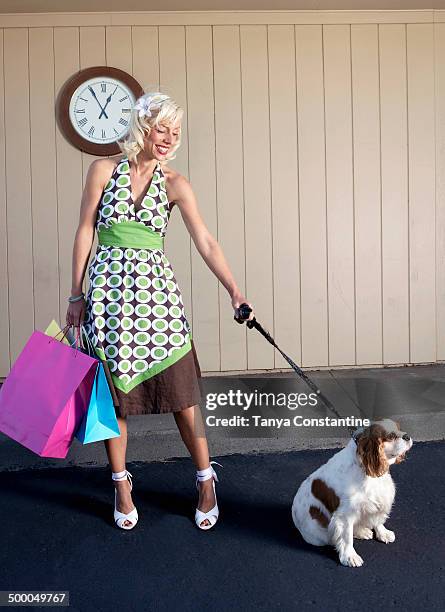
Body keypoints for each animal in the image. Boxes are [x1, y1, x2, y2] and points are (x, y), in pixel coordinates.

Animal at [292, 418, 412, 568]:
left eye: (400, 429)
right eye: (390, 436)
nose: (407, 436)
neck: (366, 470)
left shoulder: (379, 499)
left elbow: (378, 519)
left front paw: (383, 533)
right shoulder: (345, 515)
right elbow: (346, 537)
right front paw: (350, 557)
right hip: (319, 534)